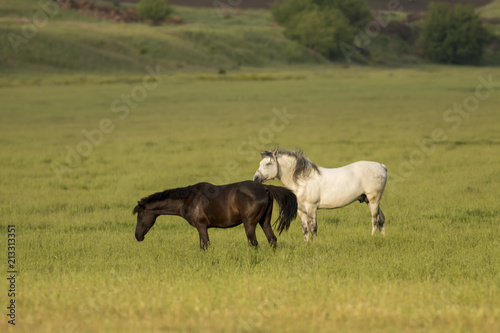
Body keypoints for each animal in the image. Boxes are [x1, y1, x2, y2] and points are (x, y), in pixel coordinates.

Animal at [133, 180, 296, 248]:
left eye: (140, 216)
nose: (137, 236)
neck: (189, 198)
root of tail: (265, 188)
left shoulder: (201, 227)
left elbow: (205, 245)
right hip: (264, 222)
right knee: (272, 240)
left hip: (249, 224)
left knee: (254, 243)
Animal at [254, 149, 386, 240]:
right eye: (260, 163)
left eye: (268, 164)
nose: (256, 178)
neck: (303, 180)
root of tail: (382, 166)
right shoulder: (301, 210)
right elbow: (305, 229)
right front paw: (307, 244)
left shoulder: (312, 207)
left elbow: (313, 228)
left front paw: (315, 244)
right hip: (370, 201)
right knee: (381, 219)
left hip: (373, 200)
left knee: (375, 220)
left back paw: (372, 237)